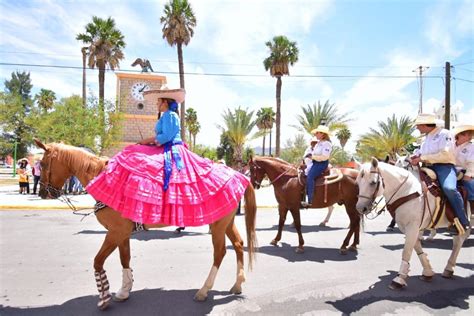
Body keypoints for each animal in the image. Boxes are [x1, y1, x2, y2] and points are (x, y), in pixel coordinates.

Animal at [34, 139, 258, 310]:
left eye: (43, 164)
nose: (43, 193)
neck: (102, 176)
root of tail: (238, 175)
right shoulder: (122, 233)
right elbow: (125, 259)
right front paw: (124, 290)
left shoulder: (115, 232)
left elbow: (98, 261)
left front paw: (104, 298)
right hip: (226, 222)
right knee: (238, 244)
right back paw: (237, 284)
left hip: (218, 226)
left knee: (220, 252)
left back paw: (204, 291)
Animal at [356, 159, 470, 290]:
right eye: (357, 183)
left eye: (373, 182)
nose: (360, 208)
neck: (407, 190)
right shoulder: (408, 226)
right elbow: (416, 247)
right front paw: (427, 272)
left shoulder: (413, 226)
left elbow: (407, 250)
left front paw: (399, 278)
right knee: (457, 240)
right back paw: (449, 269)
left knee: (459, 239)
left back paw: (449, 267)